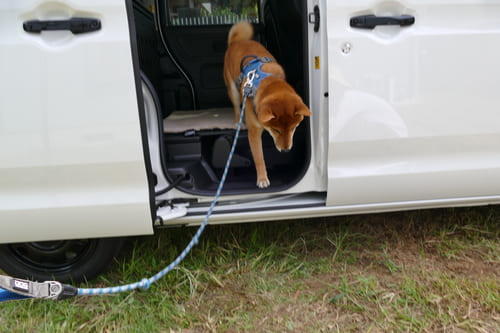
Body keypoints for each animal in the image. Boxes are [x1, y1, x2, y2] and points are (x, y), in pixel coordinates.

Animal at [224, 22, 310, 188]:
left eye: (293, 128)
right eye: (276, 130)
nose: (285, 151)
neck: (267, 80)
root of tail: (237, 41)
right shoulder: (253, 132)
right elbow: (259, 158)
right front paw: (262, 178)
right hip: (232, 89)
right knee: (237, 107)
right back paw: (238, 122)